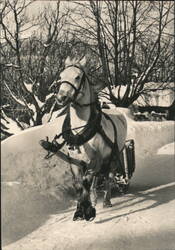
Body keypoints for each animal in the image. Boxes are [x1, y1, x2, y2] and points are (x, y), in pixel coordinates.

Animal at [47, 56, 127, 221]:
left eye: (77, 77)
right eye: (61, 76)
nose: (61, 98)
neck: (80, 130)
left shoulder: (94, 162)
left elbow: (86, 182)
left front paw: (87, 210)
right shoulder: (75, 162)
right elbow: (78, 184)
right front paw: (79, 210)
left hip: (113, 157)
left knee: (108, 177)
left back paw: (106, 201)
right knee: (97, 180)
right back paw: (96, 199)